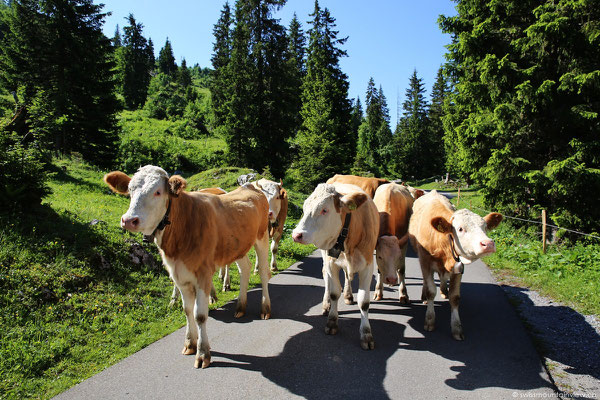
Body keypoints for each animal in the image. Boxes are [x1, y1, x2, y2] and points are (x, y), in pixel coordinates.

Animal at [104, 166, 270, 368]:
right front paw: (190, 344)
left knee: (263, 273)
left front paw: (203, 353)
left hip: (261, 238)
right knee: (245, 268)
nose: (129, 220)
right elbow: (187, 310)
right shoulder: (179, 276)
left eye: (158, 192)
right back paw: (240, 307)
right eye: (130, 190)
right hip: (238, 246)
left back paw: (265, 309)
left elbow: (200, 315)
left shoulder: (203, 275)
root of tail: (251, 186)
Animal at [292, 184, 380, 350]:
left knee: (347, 275)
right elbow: (334, 293)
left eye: (325, 210)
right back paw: (326, 304)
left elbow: (364, 301)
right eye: (304, 208)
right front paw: (332, 322)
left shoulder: (368, 266)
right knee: (326, 278)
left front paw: (366, 333)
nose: (296, 235)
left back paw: (348, 295)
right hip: (325, 257)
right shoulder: (331, 263)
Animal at [408, 191, 502, 340]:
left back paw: (443, 290)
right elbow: (430, 291)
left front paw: (457, 327)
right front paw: (430, 320)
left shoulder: (458, 267)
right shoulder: (425, 261)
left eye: (485, 227)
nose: (488, 244)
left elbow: (455, 297)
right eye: (460, 229)